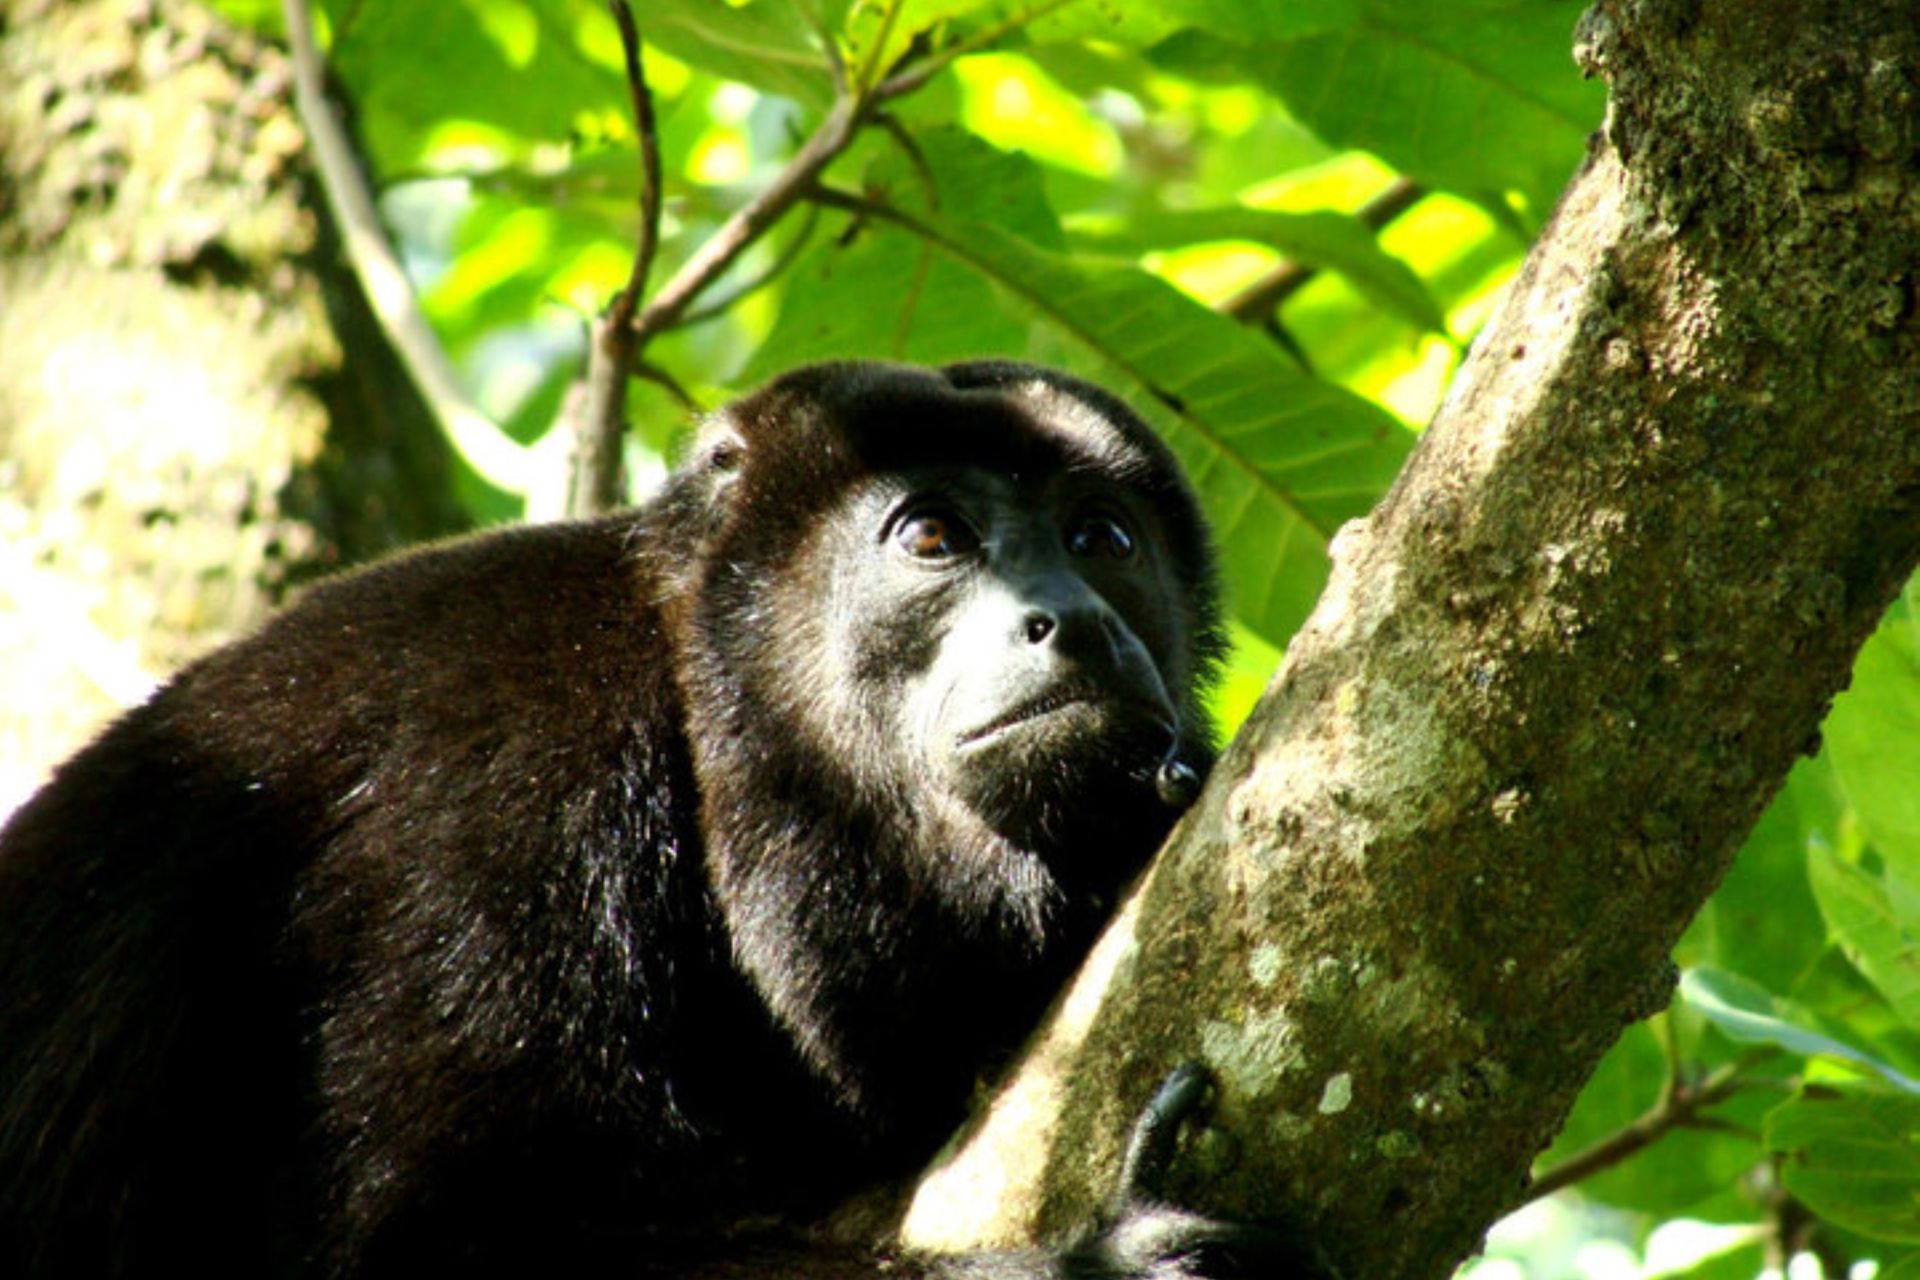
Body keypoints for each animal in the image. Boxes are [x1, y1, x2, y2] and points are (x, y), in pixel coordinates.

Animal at [0, 360, 1305, 1280]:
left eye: (1103, 538)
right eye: (933, 536)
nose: (1074, 619)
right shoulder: (499, 778)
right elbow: (438, 1241)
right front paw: (1109, 1265)